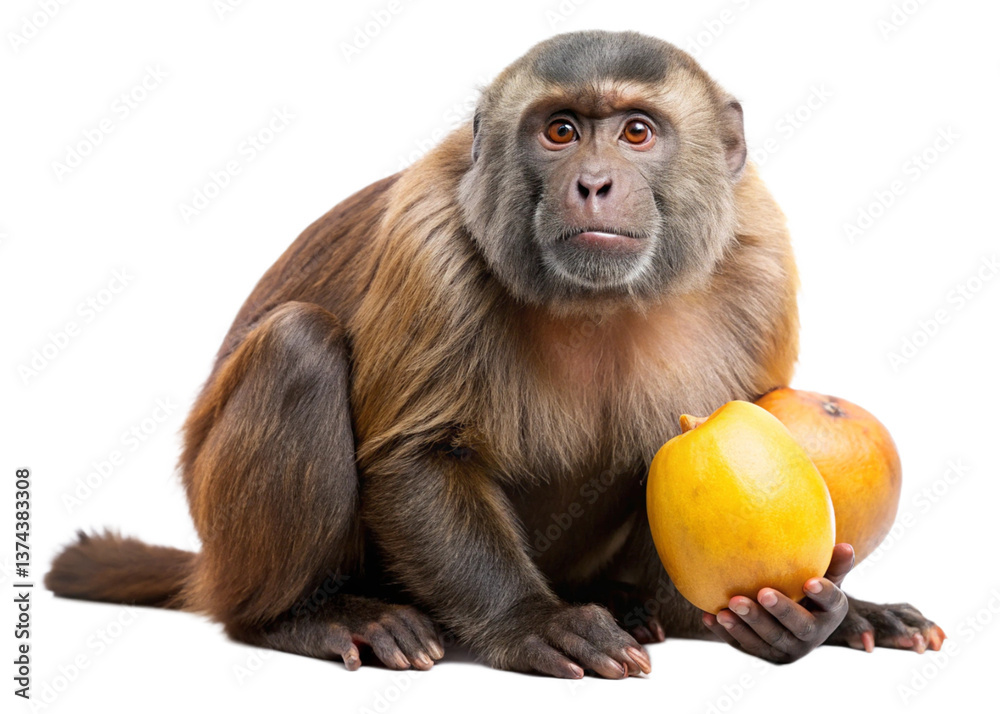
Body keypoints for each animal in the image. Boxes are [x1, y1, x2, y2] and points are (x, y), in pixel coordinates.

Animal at [47, 30, 945, 678]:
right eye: (559, 131)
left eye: (637, 132)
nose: (592, 183)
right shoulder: (432, 242)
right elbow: (416, 458)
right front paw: (530, 623)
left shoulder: (760, 253)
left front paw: (793, 616)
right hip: (236, 558)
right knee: (298, 351)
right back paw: (303, 615)